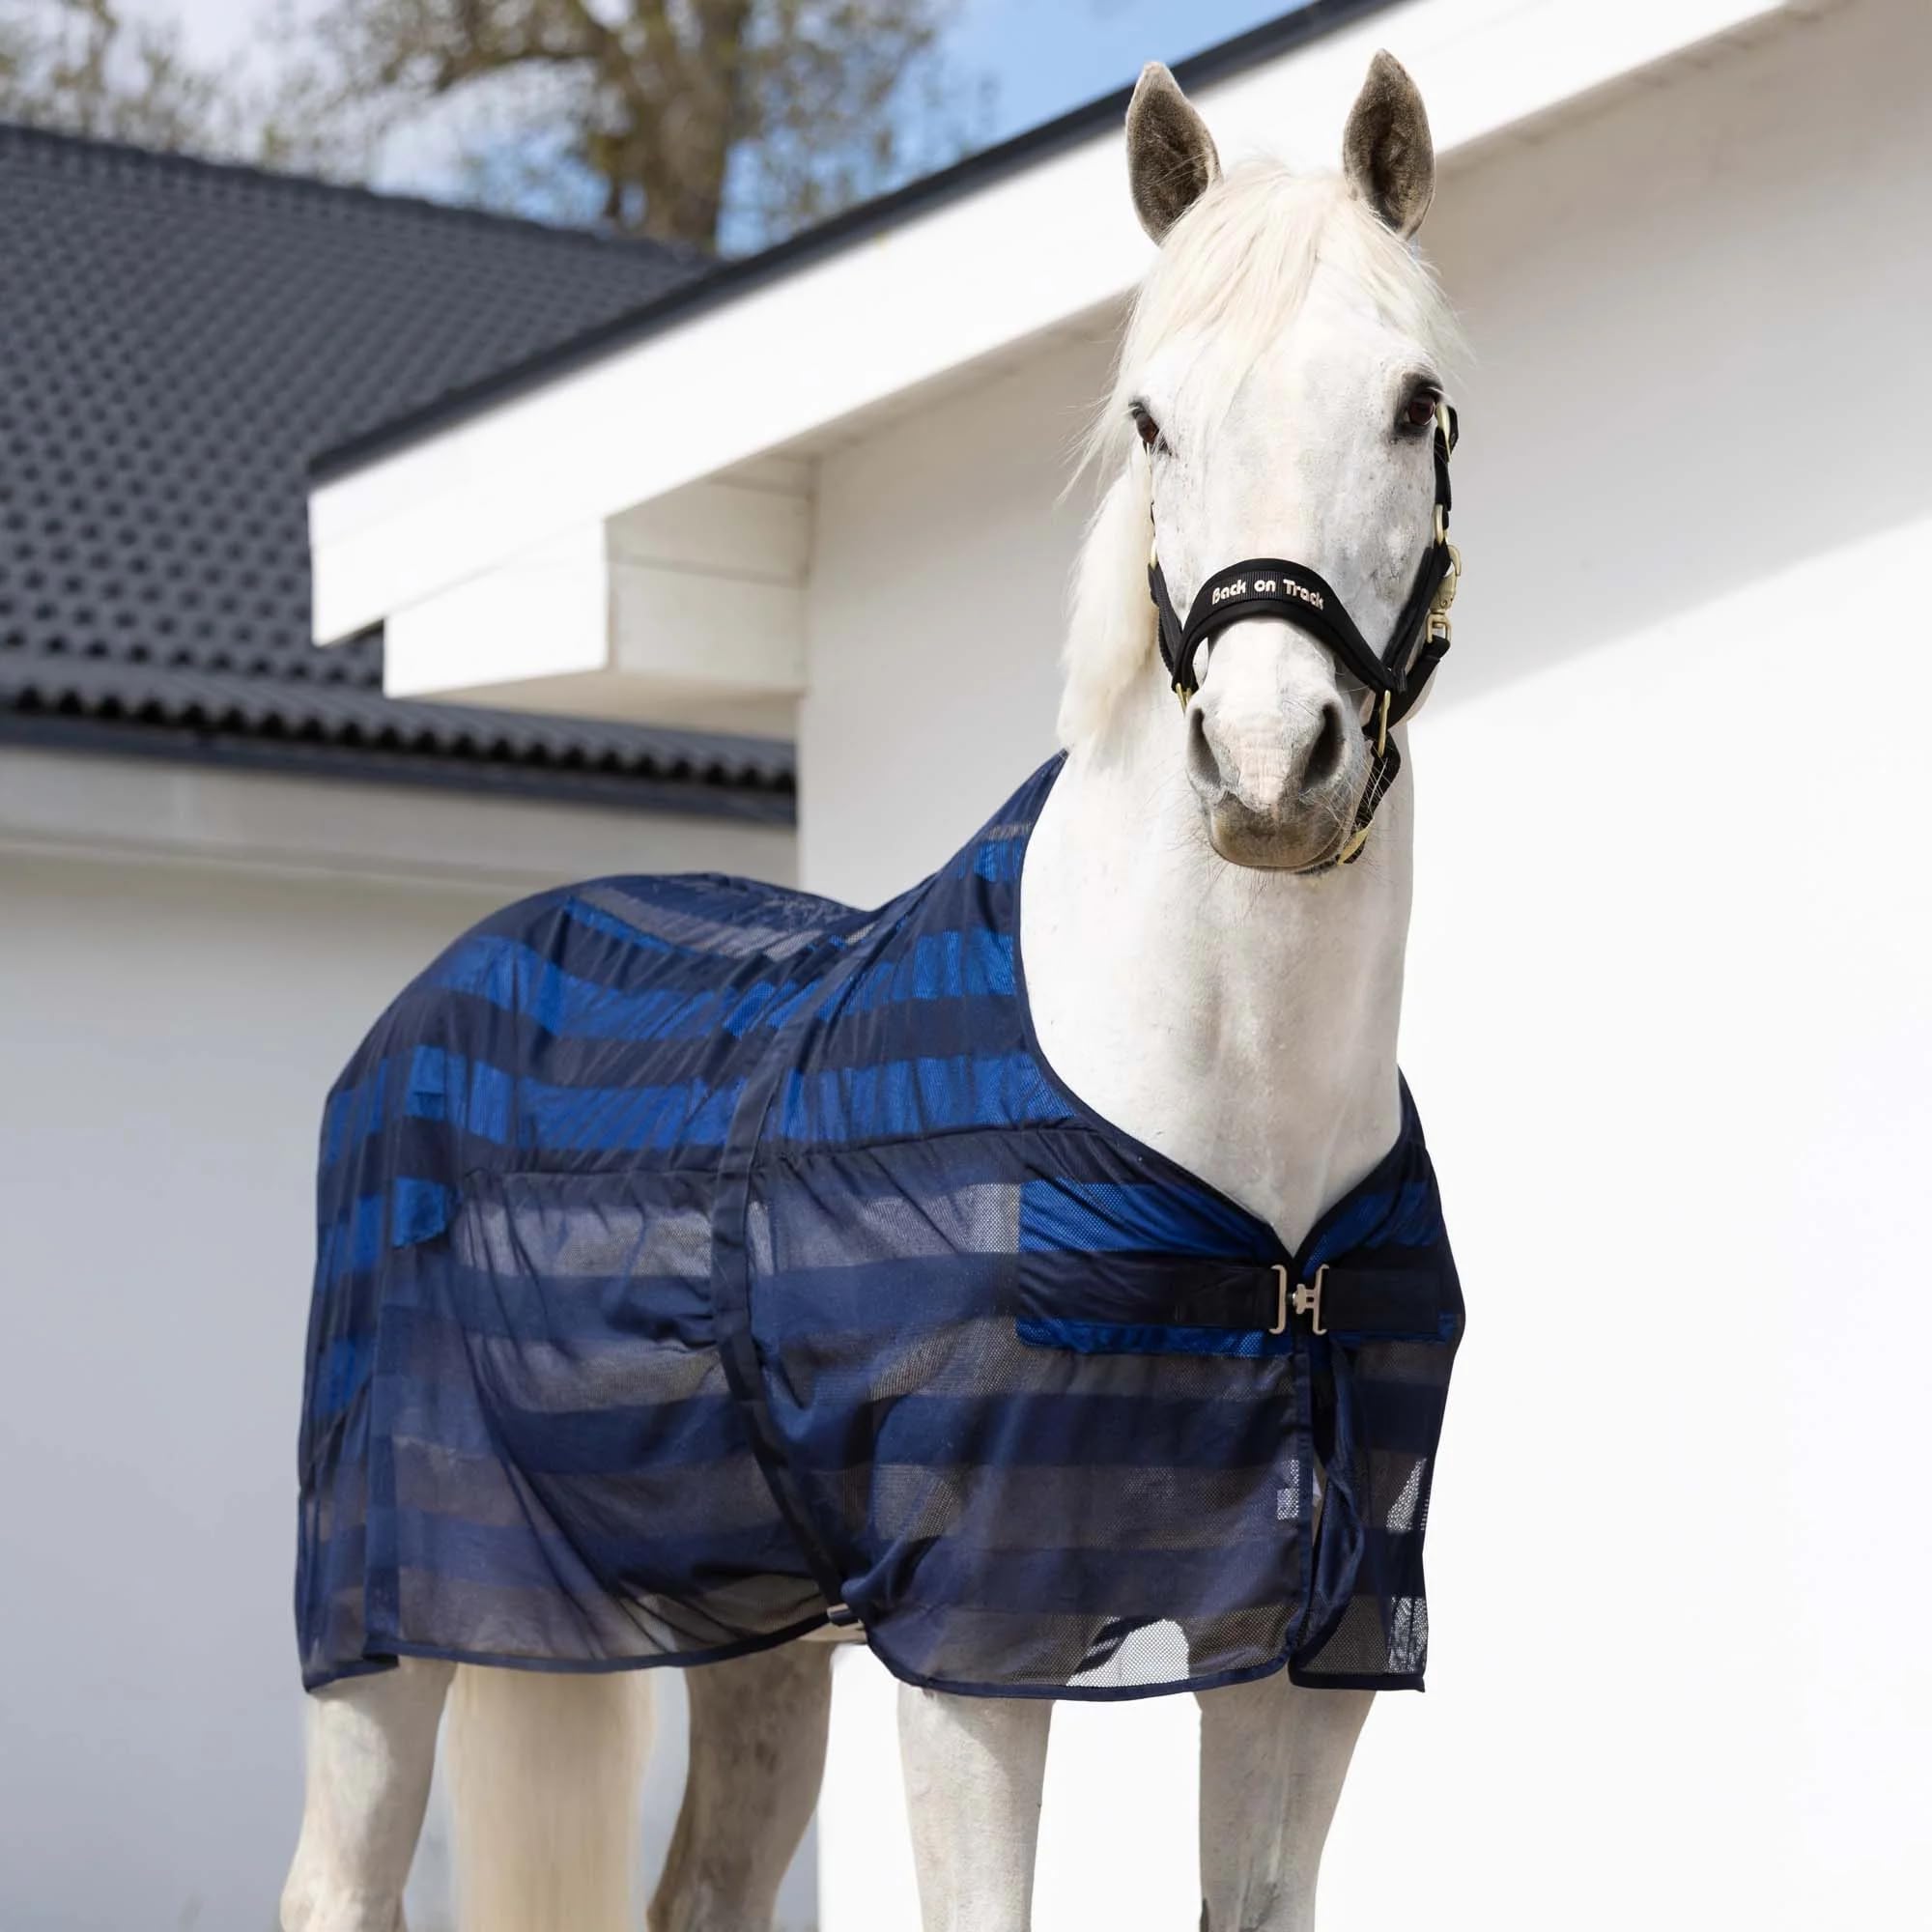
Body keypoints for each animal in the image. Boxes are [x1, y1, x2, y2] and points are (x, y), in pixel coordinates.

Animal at [280, 51, 1466, 1932]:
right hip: (380, 1637)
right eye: (1153, 421)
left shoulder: (1311, 1652)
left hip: (758, 1641)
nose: (1274, 769)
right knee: (338, 1882)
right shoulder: (976, 1644)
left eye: (1415, 404)